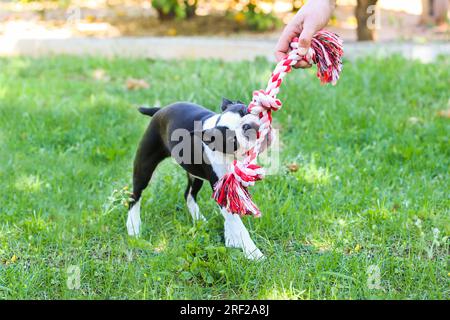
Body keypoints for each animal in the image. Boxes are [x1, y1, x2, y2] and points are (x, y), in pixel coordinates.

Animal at [126, 99, 266, 260]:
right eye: (232, 139)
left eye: (245, 111)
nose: (247, 125)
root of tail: (160, 110)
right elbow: (238, 224)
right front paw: (253, 253)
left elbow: (232, 214)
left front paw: (231, 239)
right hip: (145, 164)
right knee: (135, 195)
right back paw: (133, 225)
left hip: (194, 173)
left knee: (188, 194)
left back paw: (199, 219)